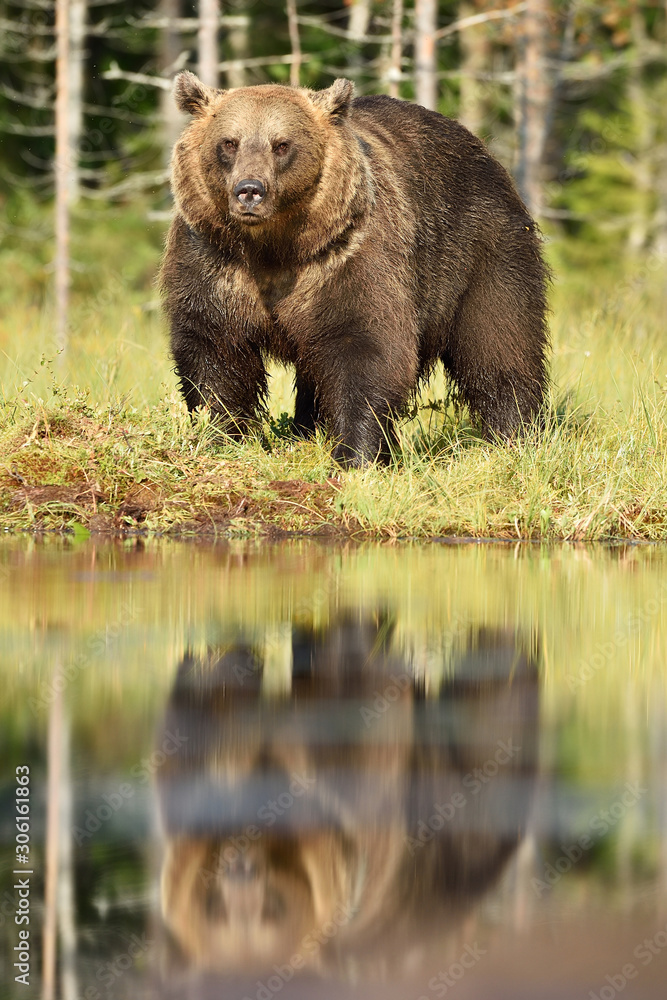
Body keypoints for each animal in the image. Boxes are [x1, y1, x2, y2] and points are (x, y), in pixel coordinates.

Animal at [159, 72, 550, 467]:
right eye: (229, 142)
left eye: (282, 145)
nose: (249, 190)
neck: (275, 247)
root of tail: (482, 149)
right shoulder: (215, 259)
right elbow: (213, 345)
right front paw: (218, 434)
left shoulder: (347, 257)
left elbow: (363, 346)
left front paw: (357, 454)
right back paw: (305, 431)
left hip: (481, 251)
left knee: (499, 343)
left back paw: (515, 434)